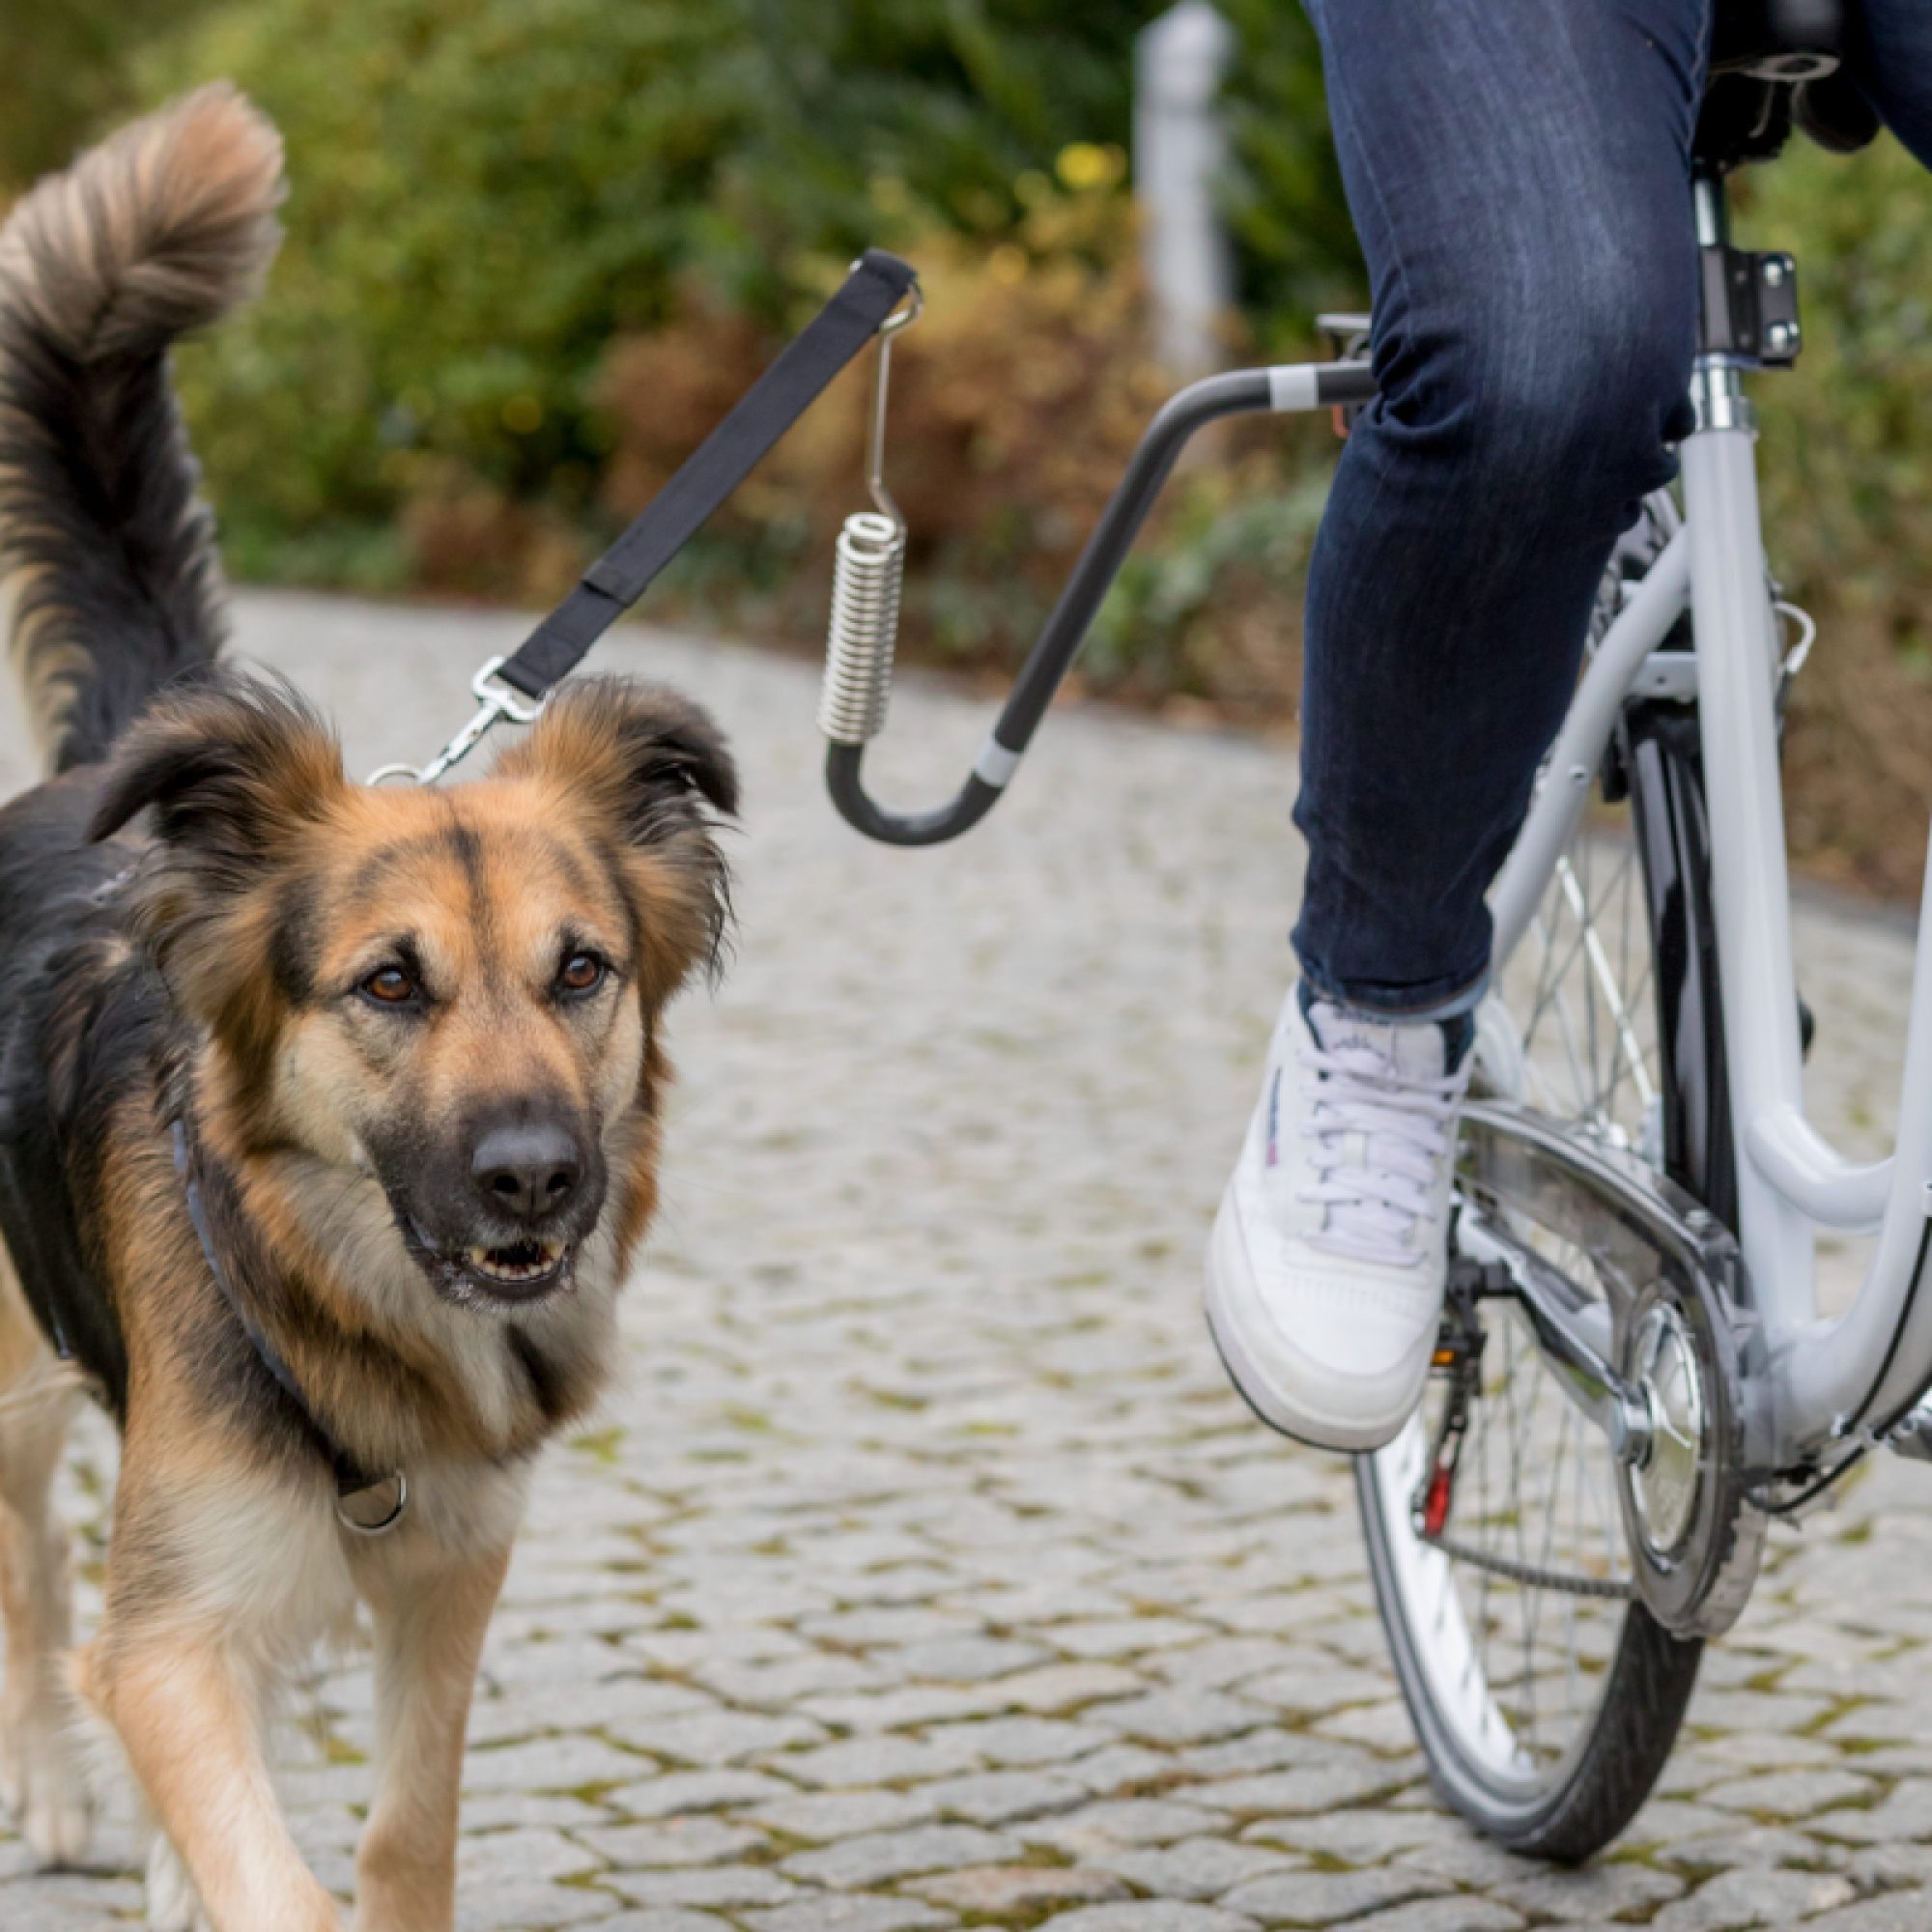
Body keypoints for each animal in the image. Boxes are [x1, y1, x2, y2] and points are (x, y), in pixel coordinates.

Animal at [0, 83, 734, 1924]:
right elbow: (255, 1853)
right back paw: (55, 1792)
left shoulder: (447, 1583)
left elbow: (400, 1839)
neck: (339, 1295)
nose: (537, 1178)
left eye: (580, 971)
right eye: (388, 983)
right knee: (34, 1576)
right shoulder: (172, 1636)